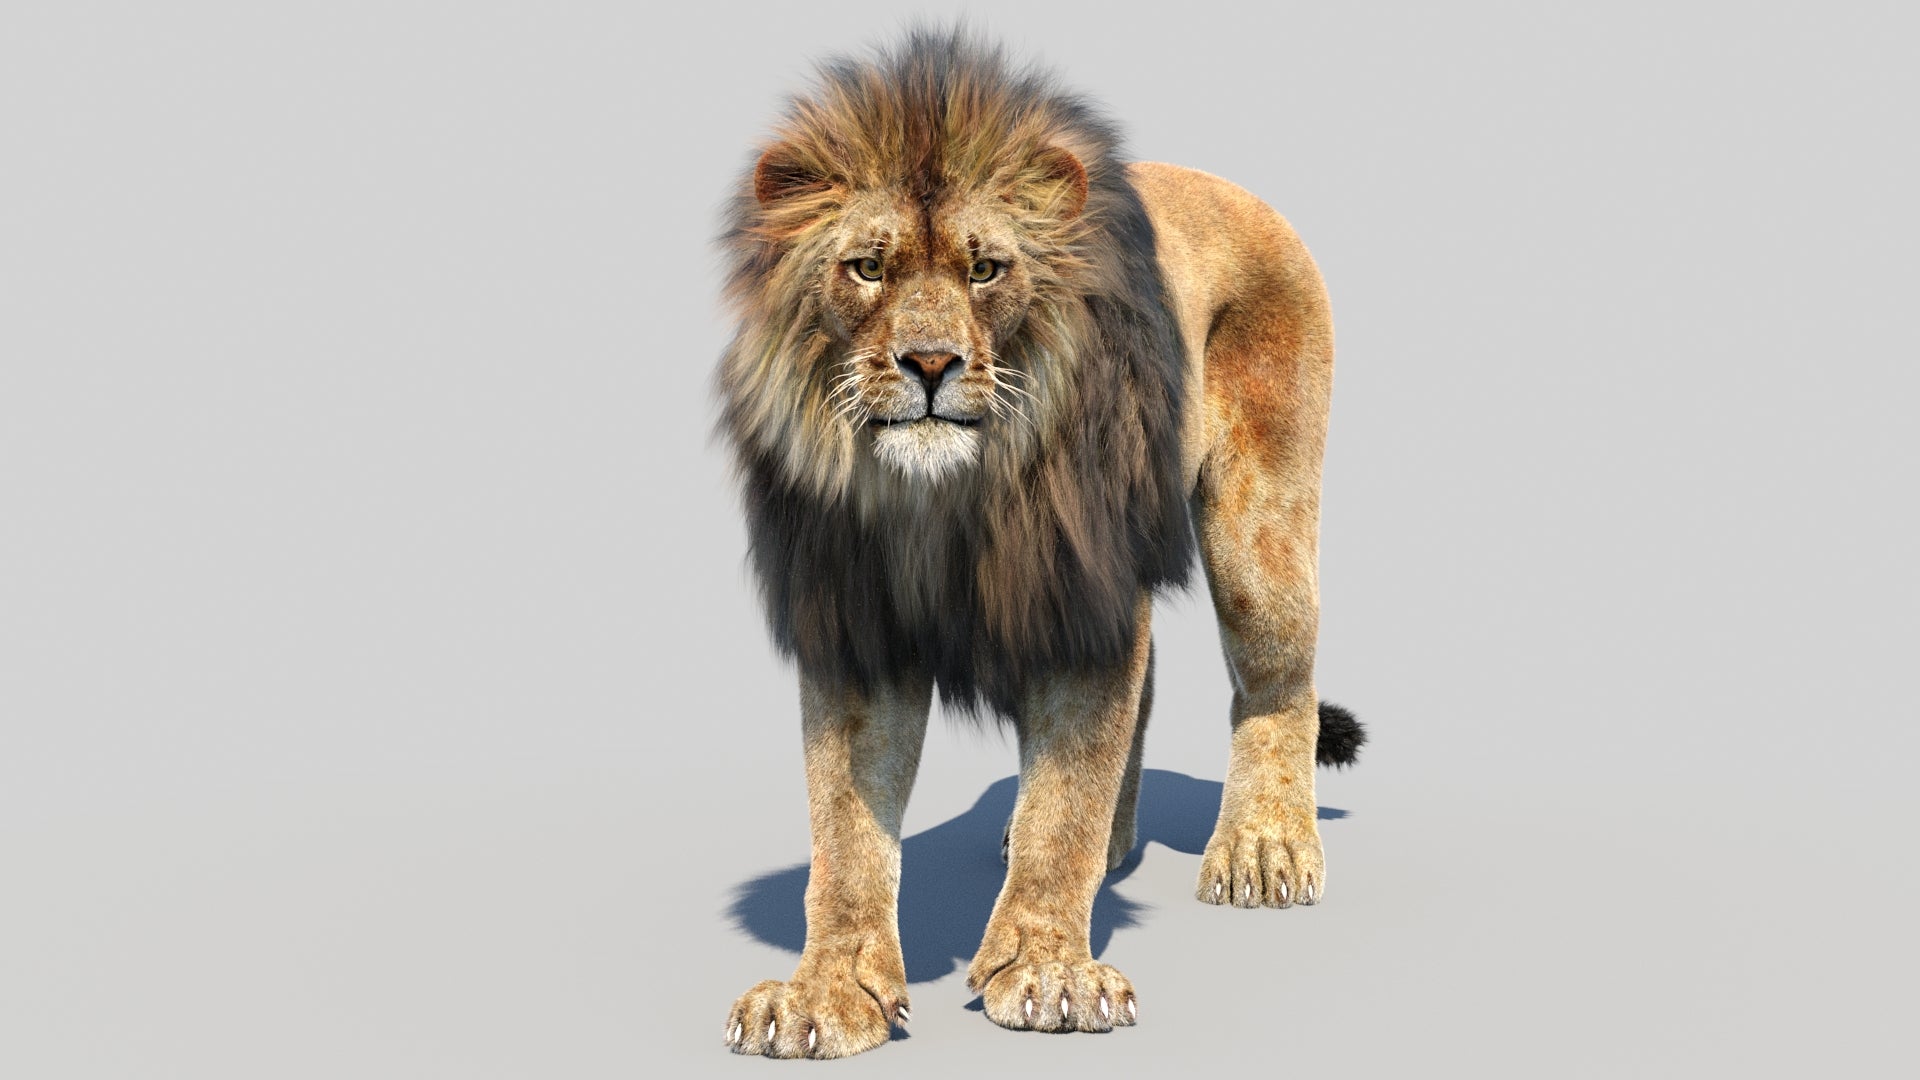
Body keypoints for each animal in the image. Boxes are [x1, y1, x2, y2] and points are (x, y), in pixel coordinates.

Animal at [714, 28, 1365, 1059]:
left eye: (986, 270)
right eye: (867, 268)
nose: (929, 363)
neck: (944, 496)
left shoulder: (1079, 592)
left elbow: (1066, 796)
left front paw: (1050, 972)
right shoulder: (857, 620)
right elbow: (845, 835)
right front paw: (825, 992)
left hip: (1257, 536)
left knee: (1276, 680)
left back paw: (1265, 847)